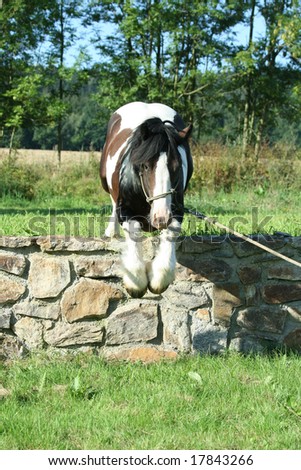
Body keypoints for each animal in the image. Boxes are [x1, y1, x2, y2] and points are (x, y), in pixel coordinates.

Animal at [98, 101, 192, 298]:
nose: (161, 217)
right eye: (146, 166)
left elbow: (171, 232)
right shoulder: (126, 209)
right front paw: (136, 281)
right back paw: (111, 231)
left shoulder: (176, 209)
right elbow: (133, 231)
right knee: (112, 201)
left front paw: (159, 278)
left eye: (177, 166)